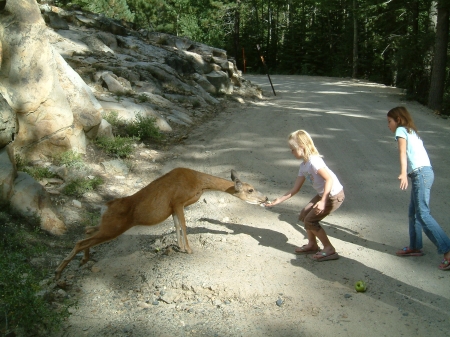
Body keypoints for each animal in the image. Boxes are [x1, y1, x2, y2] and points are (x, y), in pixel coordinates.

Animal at [55, 167, 268, 280]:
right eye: (250, 190)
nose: (265, 198)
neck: (199, 183)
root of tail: (104, 206)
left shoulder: (173, 207)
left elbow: (177, 225)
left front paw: (180, 247)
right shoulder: (178, 201)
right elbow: (184, 225)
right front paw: (189, 250)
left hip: (105, 225)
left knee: (86, 230)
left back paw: (83, 260)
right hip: (113, 228)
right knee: (80, 241)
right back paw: (59, 272)